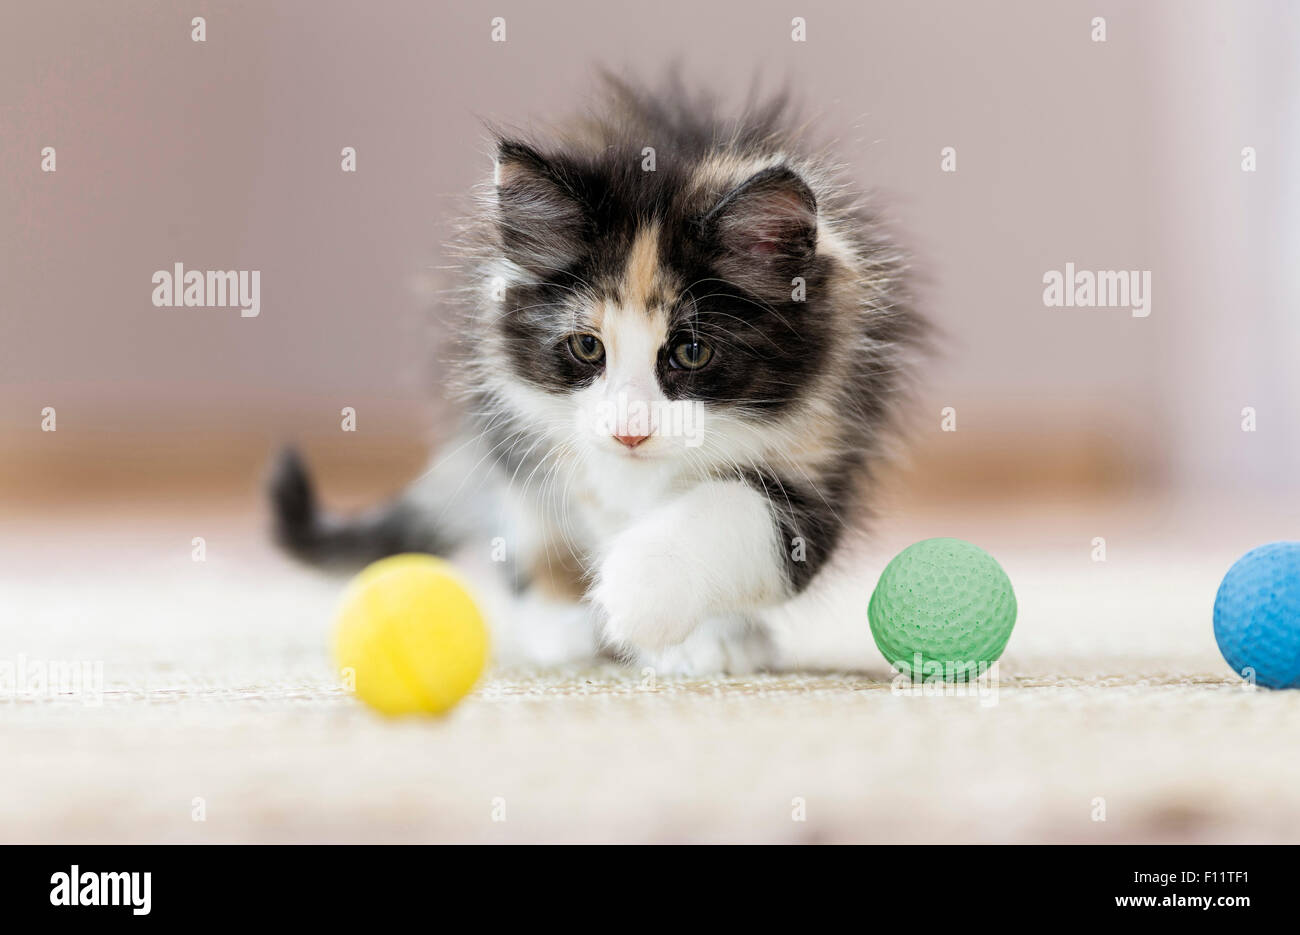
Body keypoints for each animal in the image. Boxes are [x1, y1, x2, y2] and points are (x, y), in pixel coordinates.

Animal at [271, 73, 925, 671]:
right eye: (588, 348)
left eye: (691, 354)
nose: (628, 431)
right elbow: (590, 508)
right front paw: (620, 623)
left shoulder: (826, 441)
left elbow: (733, 514)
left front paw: (648, 604)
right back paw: (559, 624)